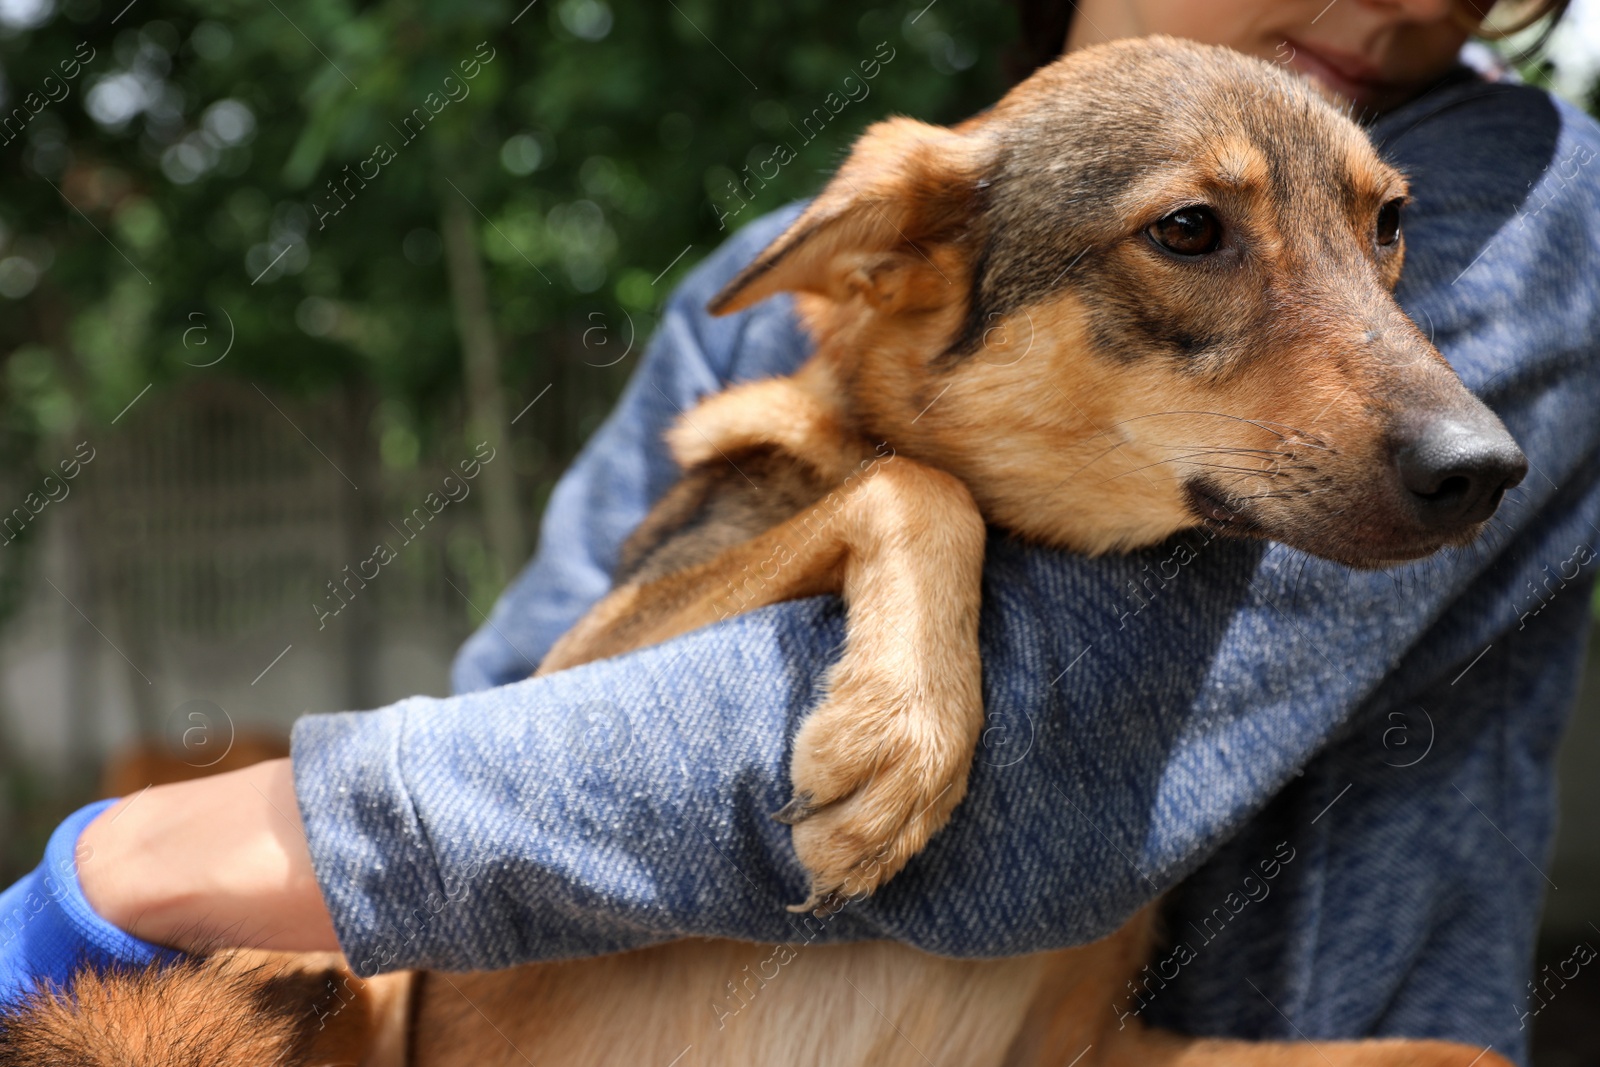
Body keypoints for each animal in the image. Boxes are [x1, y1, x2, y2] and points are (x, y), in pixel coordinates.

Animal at [0, 37, 1523, 1062]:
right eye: (1190, 230)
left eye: (1390, 224)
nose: (1489, 470)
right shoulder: (575, 663)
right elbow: (915, 479)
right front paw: (896, 742)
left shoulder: (1092, 1050)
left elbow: (1449, 1044)